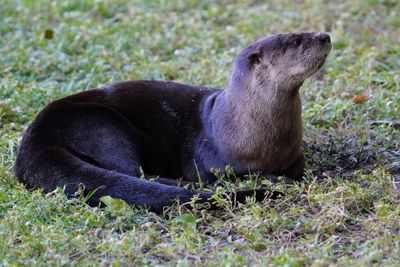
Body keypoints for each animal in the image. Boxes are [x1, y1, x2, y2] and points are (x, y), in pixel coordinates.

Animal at [15, 31, 332, 214]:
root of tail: (36, 139)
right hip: (103, 126)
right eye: (296, 41)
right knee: (137, 173)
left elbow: (300, 168)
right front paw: (275, 178)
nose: (325, 35)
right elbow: (237, 172)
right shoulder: (212, 159)